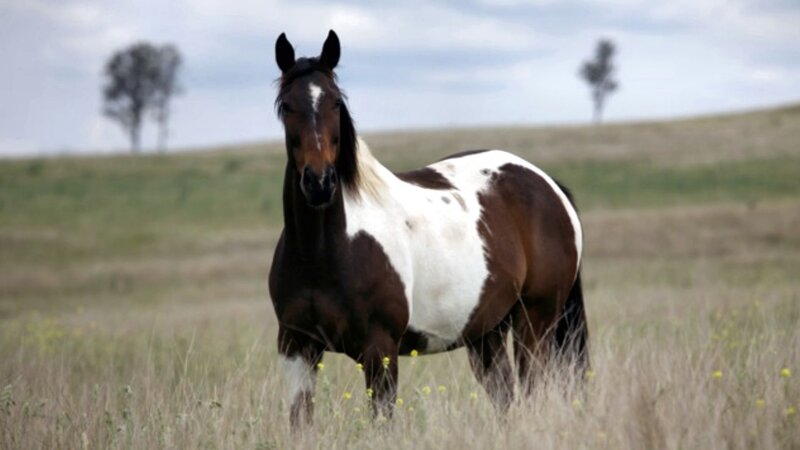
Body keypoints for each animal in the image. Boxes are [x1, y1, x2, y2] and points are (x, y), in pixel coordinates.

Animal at [268, 30, 588, 428]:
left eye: (336, 104)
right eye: (286, 106)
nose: (319, 182)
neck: (325, 252)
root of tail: (548, 185)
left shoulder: (380, 351)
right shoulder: (297, 348)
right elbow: (301, 423)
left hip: (535, 322)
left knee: (532, 392)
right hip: (488, 334)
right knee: (507, 398)